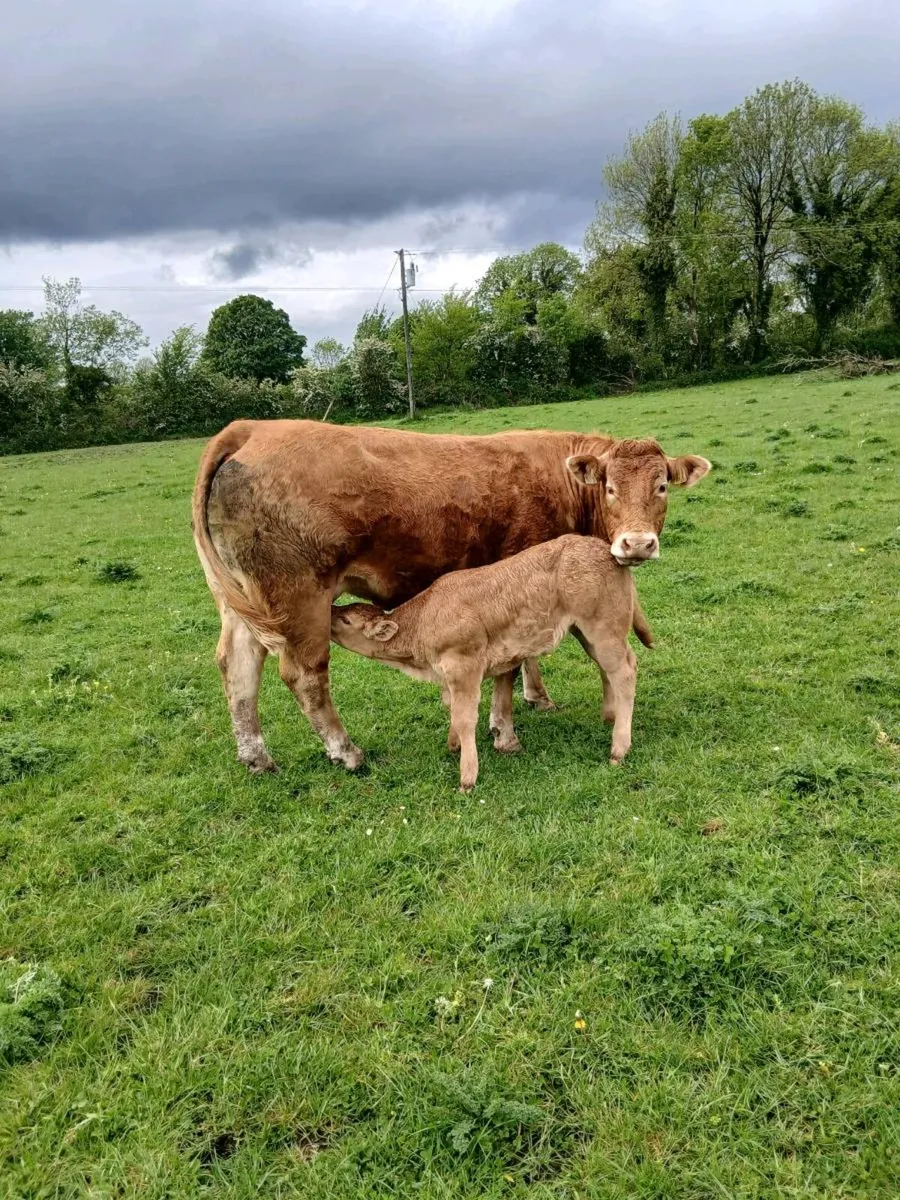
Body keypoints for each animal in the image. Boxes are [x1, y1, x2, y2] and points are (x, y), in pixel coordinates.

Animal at [330, 534, 648, 791]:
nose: (329, 612)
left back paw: (619, 747)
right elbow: (451, 707)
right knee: (606, 669)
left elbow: (464, 717)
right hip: (586, 632)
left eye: (346, 620)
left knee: (625, 671)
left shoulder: (464, 666)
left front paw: (467, 777)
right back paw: (610, 716)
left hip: (604, 627)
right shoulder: (450, 675)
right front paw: (453, 744)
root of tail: (602, 547)